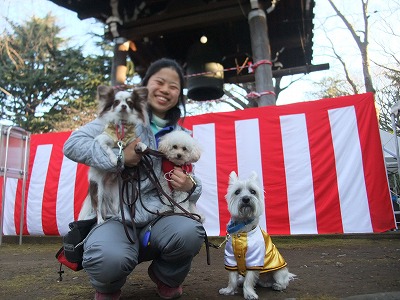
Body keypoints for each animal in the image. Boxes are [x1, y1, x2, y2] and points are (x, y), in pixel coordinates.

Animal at [87, 85, 148, 224]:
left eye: (130, 103)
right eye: (116, 102)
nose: (124, 106)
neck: (122, 126)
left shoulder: (132, 140)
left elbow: (138, 142)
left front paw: (143, 146)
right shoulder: (102, 140)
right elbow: (110, 149)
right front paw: (115, 159)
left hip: (117, 194)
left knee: (117, 208)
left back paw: (120, 218)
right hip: (98, 190)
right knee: (98, 207)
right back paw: (100, 221)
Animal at [220, 171, 296, 300]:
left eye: (253, 191)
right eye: (237, 191)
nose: (246, 199)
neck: (243, 230)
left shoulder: (254, 259)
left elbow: (249, 280)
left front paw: (249, 294)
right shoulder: (231, 258)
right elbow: (232, 277)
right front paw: (229, 290)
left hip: (279, 271)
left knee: (283, 280)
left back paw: (278, 285)